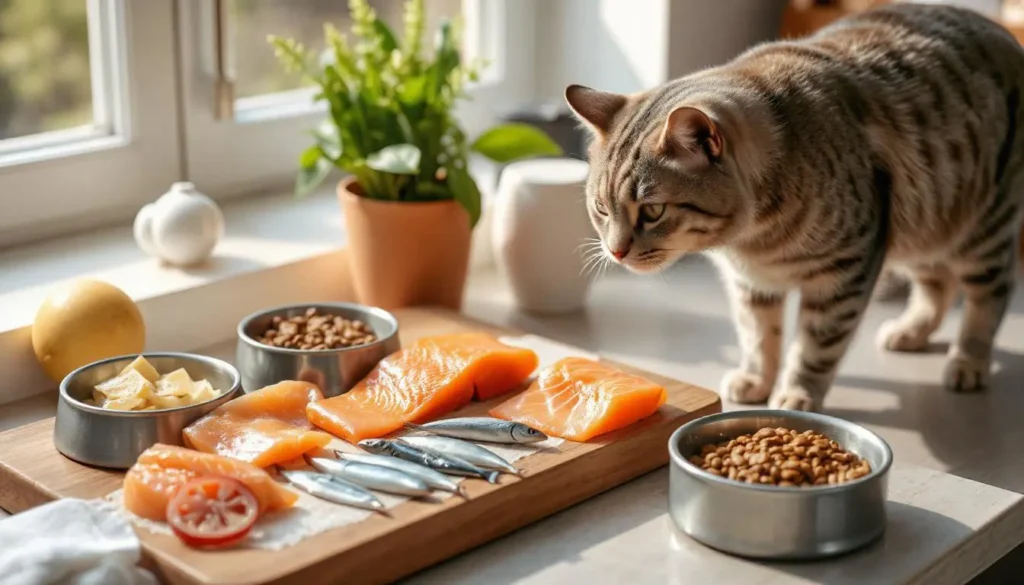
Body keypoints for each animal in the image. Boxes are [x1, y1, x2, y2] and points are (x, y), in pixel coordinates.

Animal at [565, 2, 1024, 411]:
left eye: (653, 211)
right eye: (601, 209)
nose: (616, 251)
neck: (752, 240)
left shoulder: (843, 276)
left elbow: (815, 347)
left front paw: (796, 395)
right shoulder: (751, 283)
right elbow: (757, 337)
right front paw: (755, 380)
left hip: (981, 231)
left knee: (989, 298)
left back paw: (968, 361)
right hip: (922, 228)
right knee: (937, 284)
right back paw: (910, 331)